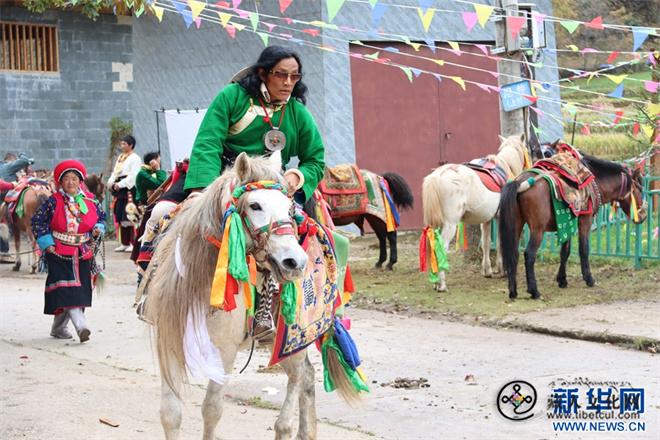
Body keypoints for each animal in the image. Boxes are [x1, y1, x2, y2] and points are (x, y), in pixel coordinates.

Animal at [145, 152, 360, 440]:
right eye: (255, 205)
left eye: (290, 209)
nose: (295, 262)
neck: (202, 282)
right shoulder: (168, 337)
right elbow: (170, 414)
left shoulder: (224, 350)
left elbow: (212, 410)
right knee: (307, 375)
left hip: (294, 335)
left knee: (300, 376)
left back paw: (287, 427)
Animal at [421, 133, 531, 292]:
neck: (506, 166)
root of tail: (438, 175)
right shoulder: (501, 217)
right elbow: (500, 243)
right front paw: (502, 270)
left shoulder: (487, 220)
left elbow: (485, 243)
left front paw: (487, 270)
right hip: (450, 225)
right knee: (442, 247)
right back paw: (441, 284)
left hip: (435, 225)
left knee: (433, 246)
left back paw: (435, 282)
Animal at [499, 150, 648, 300]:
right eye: (640, 188)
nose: (643, 215)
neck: (595, 182)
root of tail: (519, 182)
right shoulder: (585, 221)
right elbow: (584, 249)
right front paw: (589, 279)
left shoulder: (567, 224)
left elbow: (565, 252)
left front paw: (562, 280)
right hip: (537, 230)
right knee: (529, 254)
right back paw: (534, 291)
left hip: (517, 225)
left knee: (514, 254)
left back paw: (513, 291)